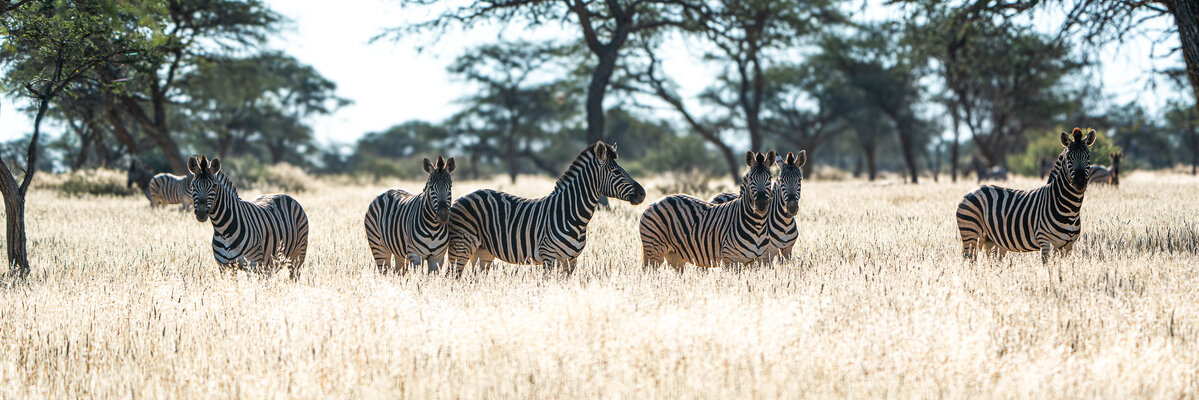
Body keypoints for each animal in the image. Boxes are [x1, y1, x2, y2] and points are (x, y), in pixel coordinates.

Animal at [446, 142, 646, 276]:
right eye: (616, 172)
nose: (642, 193)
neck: (572, 215)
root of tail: (465, 196)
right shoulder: (549, 258)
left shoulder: (571, 261)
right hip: (461, 247)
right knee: (452, 278)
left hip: (482, 251)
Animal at [640, 151, 777, 271]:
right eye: (751, 179)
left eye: (770, 178)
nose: (761, 204)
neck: (758, 225)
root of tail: (653, 203)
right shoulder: (730, 259)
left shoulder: (755, 261)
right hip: (654, 252)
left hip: (674, 256)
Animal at [956, 128, 1096, 263]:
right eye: (1069, 158)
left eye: (1088, 156)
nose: (1080, 182)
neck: (1070, 209)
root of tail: (973, 190)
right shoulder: (1045, 241)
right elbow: (1047, 266)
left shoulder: (1068, 246)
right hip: (970, 234)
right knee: (969, 260)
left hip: (990, 239)